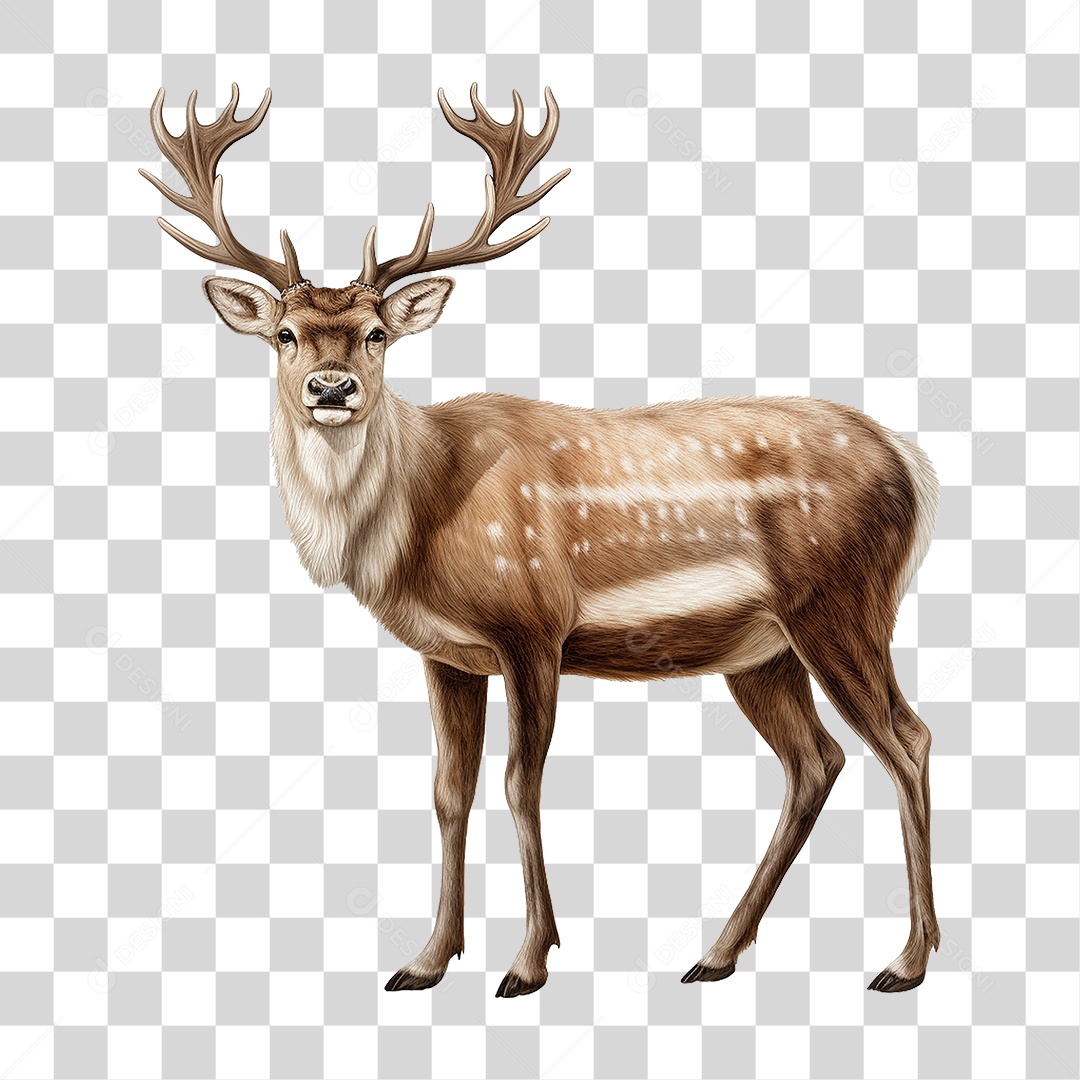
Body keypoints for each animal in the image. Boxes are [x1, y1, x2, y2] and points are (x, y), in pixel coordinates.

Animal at [142, 82, 941, 998]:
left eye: (378, 334)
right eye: (285, 334)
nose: (332, 388)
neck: (420, 515)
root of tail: (912, 465)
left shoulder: (533, 626)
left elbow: (521, 784)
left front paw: (527, 963)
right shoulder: (449, 654)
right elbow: (449, 791)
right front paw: (425, 960)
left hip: (842, 603)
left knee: (907, 740)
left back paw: (907, 960)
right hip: (760, 648)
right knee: (816, 761)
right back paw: (716, 953)